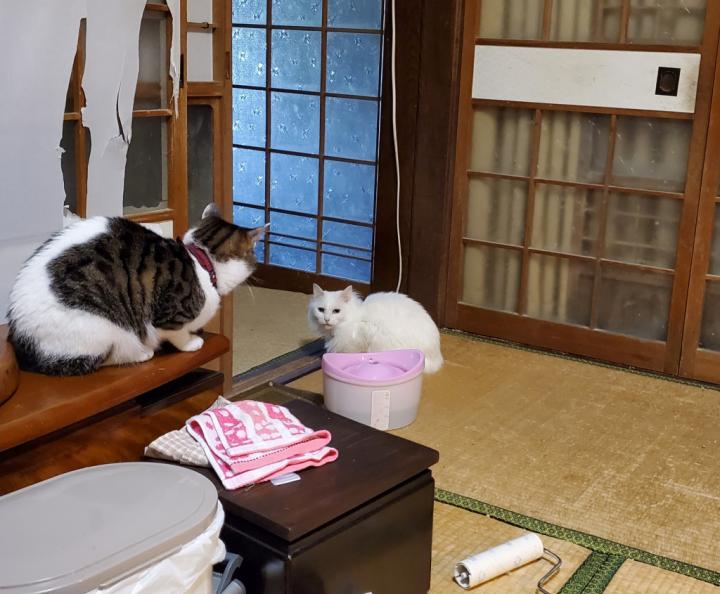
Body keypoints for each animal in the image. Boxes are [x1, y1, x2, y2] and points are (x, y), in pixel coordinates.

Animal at [7, 203, 266, 376]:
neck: (200, 261)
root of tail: (19, 334)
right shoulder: (168, 318)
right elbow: (178, 334)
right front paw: (192, 342)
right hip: (100, 329)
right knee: (100, 358)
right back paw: (141, 353)